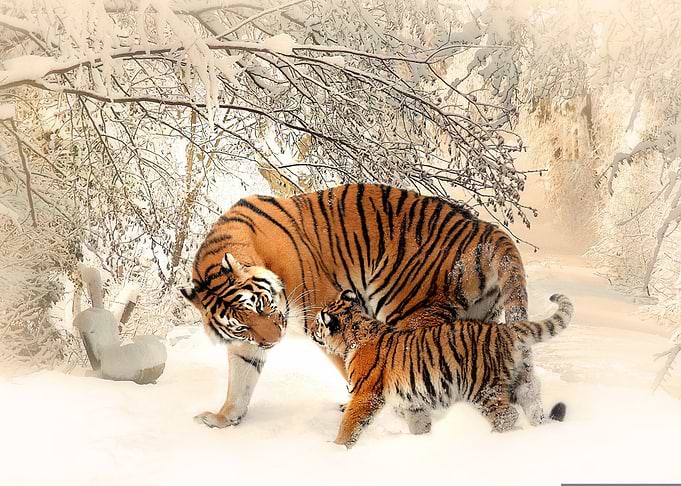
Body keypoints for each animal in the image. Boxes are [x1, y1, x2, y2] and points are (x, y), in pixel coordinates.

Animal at [181, 183, 534, 429]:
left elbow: (352, 365)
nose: (274, 341)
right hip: (479, 319)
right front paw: (223, 418)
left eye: (263, 305)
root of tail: (485, 229)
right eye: (242, 325)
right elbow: (240, 381)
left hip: (409, 311)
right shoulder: (246, 344)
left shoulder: (323, 312)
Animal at [308, 290, 574, 448]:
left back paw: (494, 440)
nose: (309, 330)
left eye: (318, 323)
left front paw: (336, 449)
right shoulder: (412, 401)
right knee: (533, 404)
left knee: (507, 416)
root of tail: (506, 329)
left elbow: (349, 424)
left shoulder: (365, 395)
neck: (356, 332)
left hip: (483, 388)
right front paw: (423, 441)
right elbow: (419, 423)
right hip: (521, 382)